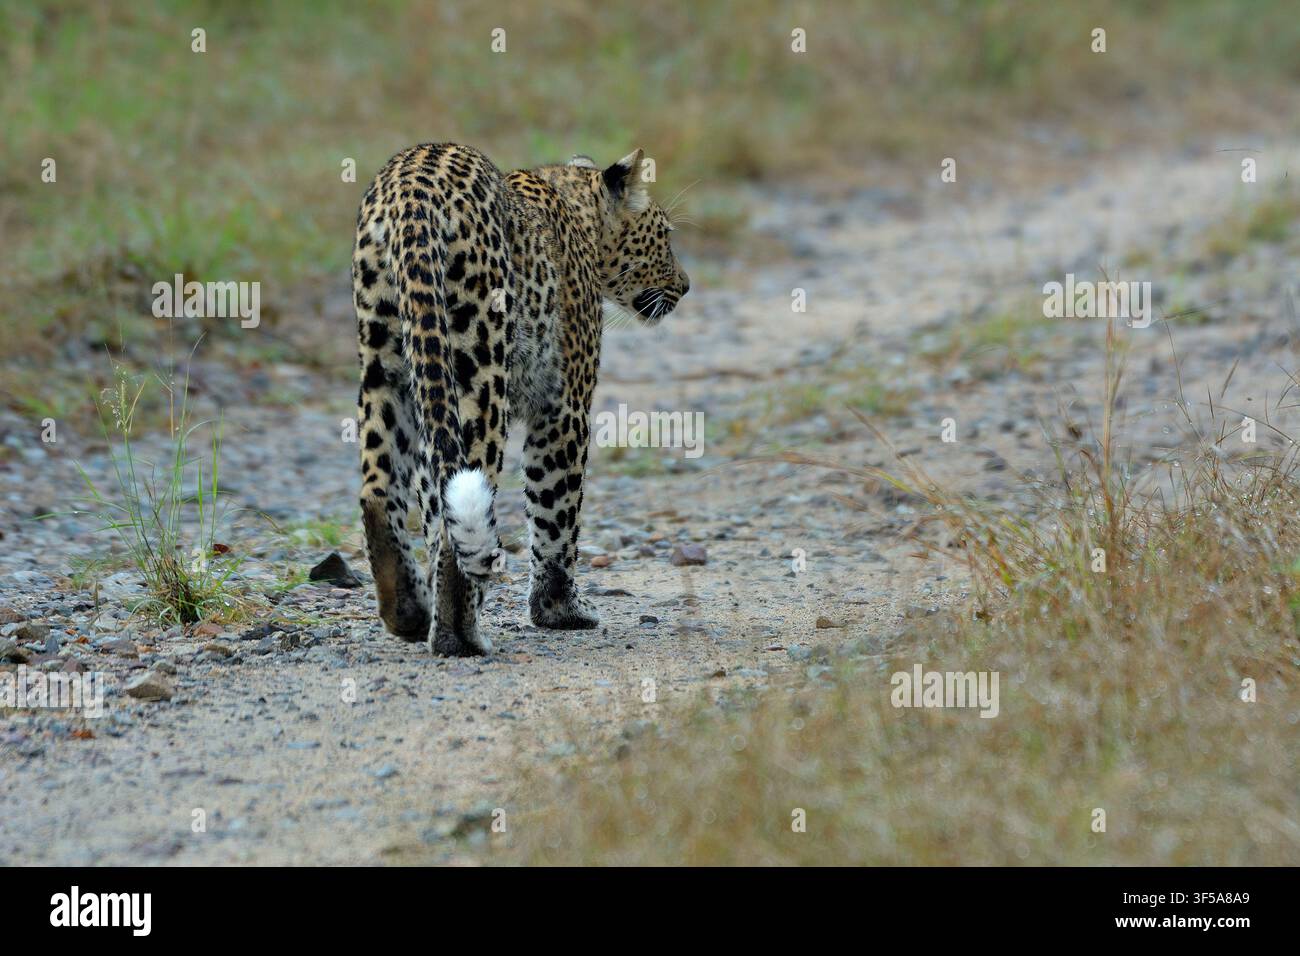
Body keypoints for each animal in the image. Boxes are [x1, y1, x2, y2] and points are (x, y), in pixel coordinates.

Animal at [352, 143, 689, 656]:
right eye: (665, 237)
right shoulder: (564, 405)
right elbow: (556, 513)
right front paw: (560, 610)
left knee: (384, 491)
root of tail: (409, 187)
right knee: (459, 500)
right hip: (479, 371)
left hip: (389, 366)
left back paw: (408, 612)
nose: (686, 286)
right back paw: (460, 636)